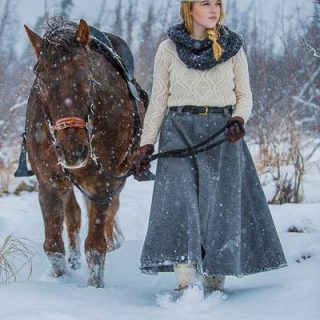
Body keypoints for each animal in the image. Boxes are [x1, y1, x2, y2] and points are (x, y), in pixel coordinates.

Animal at [23, 17, 146, 288]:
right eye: (41, 82)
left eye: (88, 79)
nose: (73, 150)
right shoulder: (49, 183)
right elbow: (54, 246)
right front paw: (61, 281)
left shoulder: (103, 185)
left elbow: (96, 246)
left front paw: (94, 288)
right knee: (74, 213)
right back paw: (74, 258)